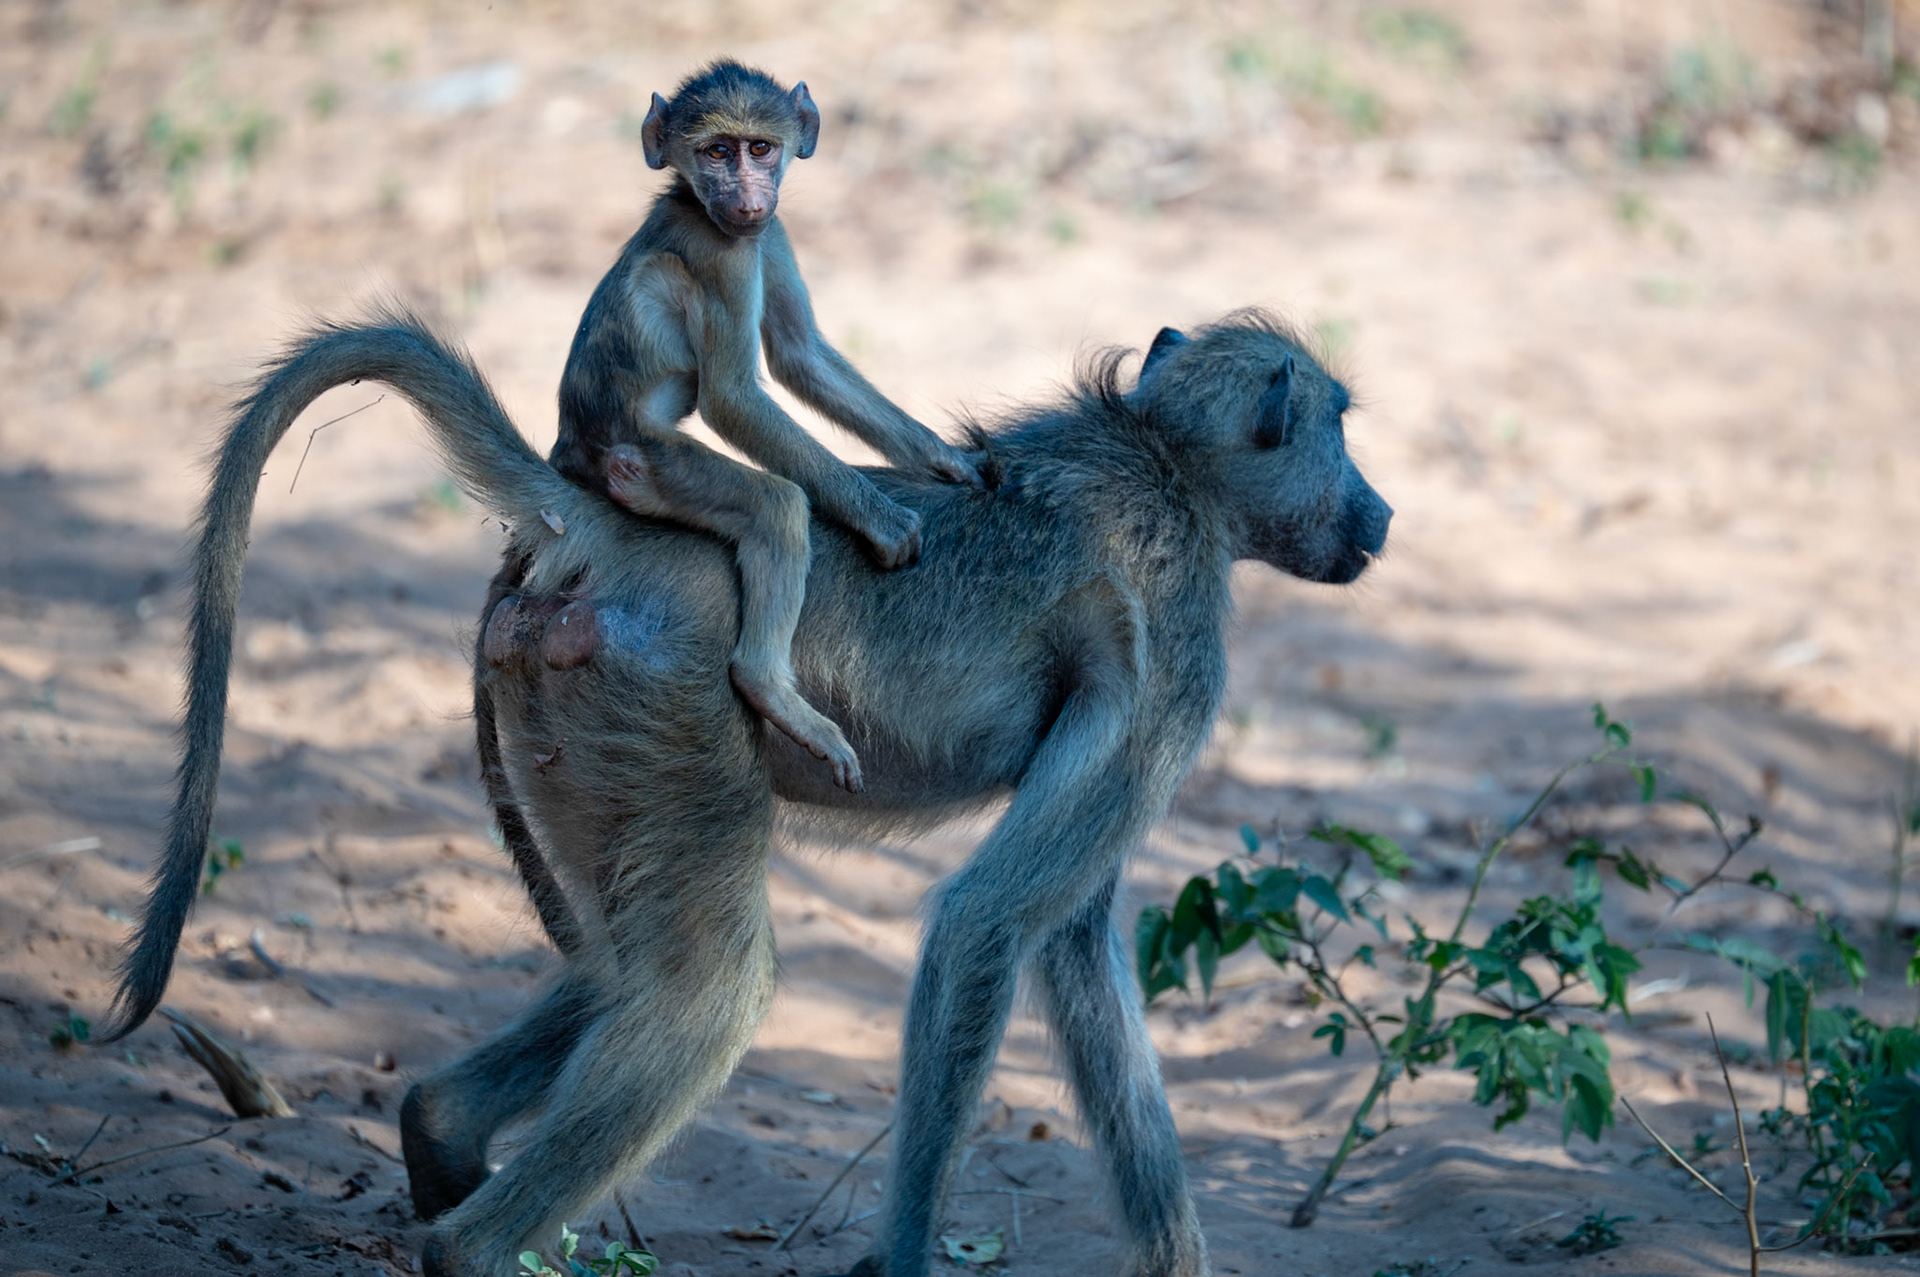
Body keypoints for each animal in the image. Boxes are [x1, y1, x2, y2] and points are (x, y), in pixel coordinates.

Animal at [100, 305, 1390, 1277]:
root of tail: (601, 528)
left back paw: (446, 1127)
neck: (1166, 460)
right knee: (714, 983)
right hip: (662, 695)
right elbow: (987, 922)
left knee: (624, 962)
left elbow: (1068, 936)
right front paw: (902, 1259)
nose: (1379, 512)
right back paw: (473, 1243)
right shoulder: (1180, 654)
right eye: (1337, 428)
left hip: (579, 726)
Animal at [550, 59, 981, 795]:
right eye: (717, 152)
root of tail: (570, 444)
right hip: (652, 462)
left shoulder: (766, 236)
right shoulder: (724, 253)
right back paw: (771, 690)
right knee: (776, 506)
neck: (697, 204)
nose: (748, 196)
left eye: (761, 148)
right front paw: (885, 522)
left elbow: (799, 353)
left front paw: (944, 460)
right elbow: (733, 400)